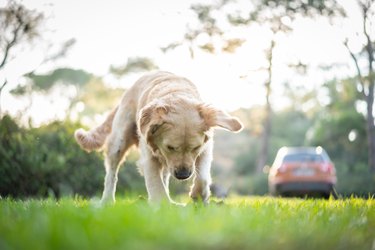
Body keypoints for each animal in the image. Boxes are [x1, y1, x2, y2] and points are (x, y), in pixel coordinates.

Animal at [74, 71, 244, 204]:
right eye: (170, 147)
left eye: (195, 147)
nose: (183, 175)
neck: (177, 93)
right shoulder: (149, 156)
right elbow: (156, 184)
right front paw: (164, 208)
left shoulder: (205, 149)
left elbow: (202, 176)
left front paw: (198, 196)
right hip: (119, 141)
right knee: (112, 174)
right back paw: (107, 201)